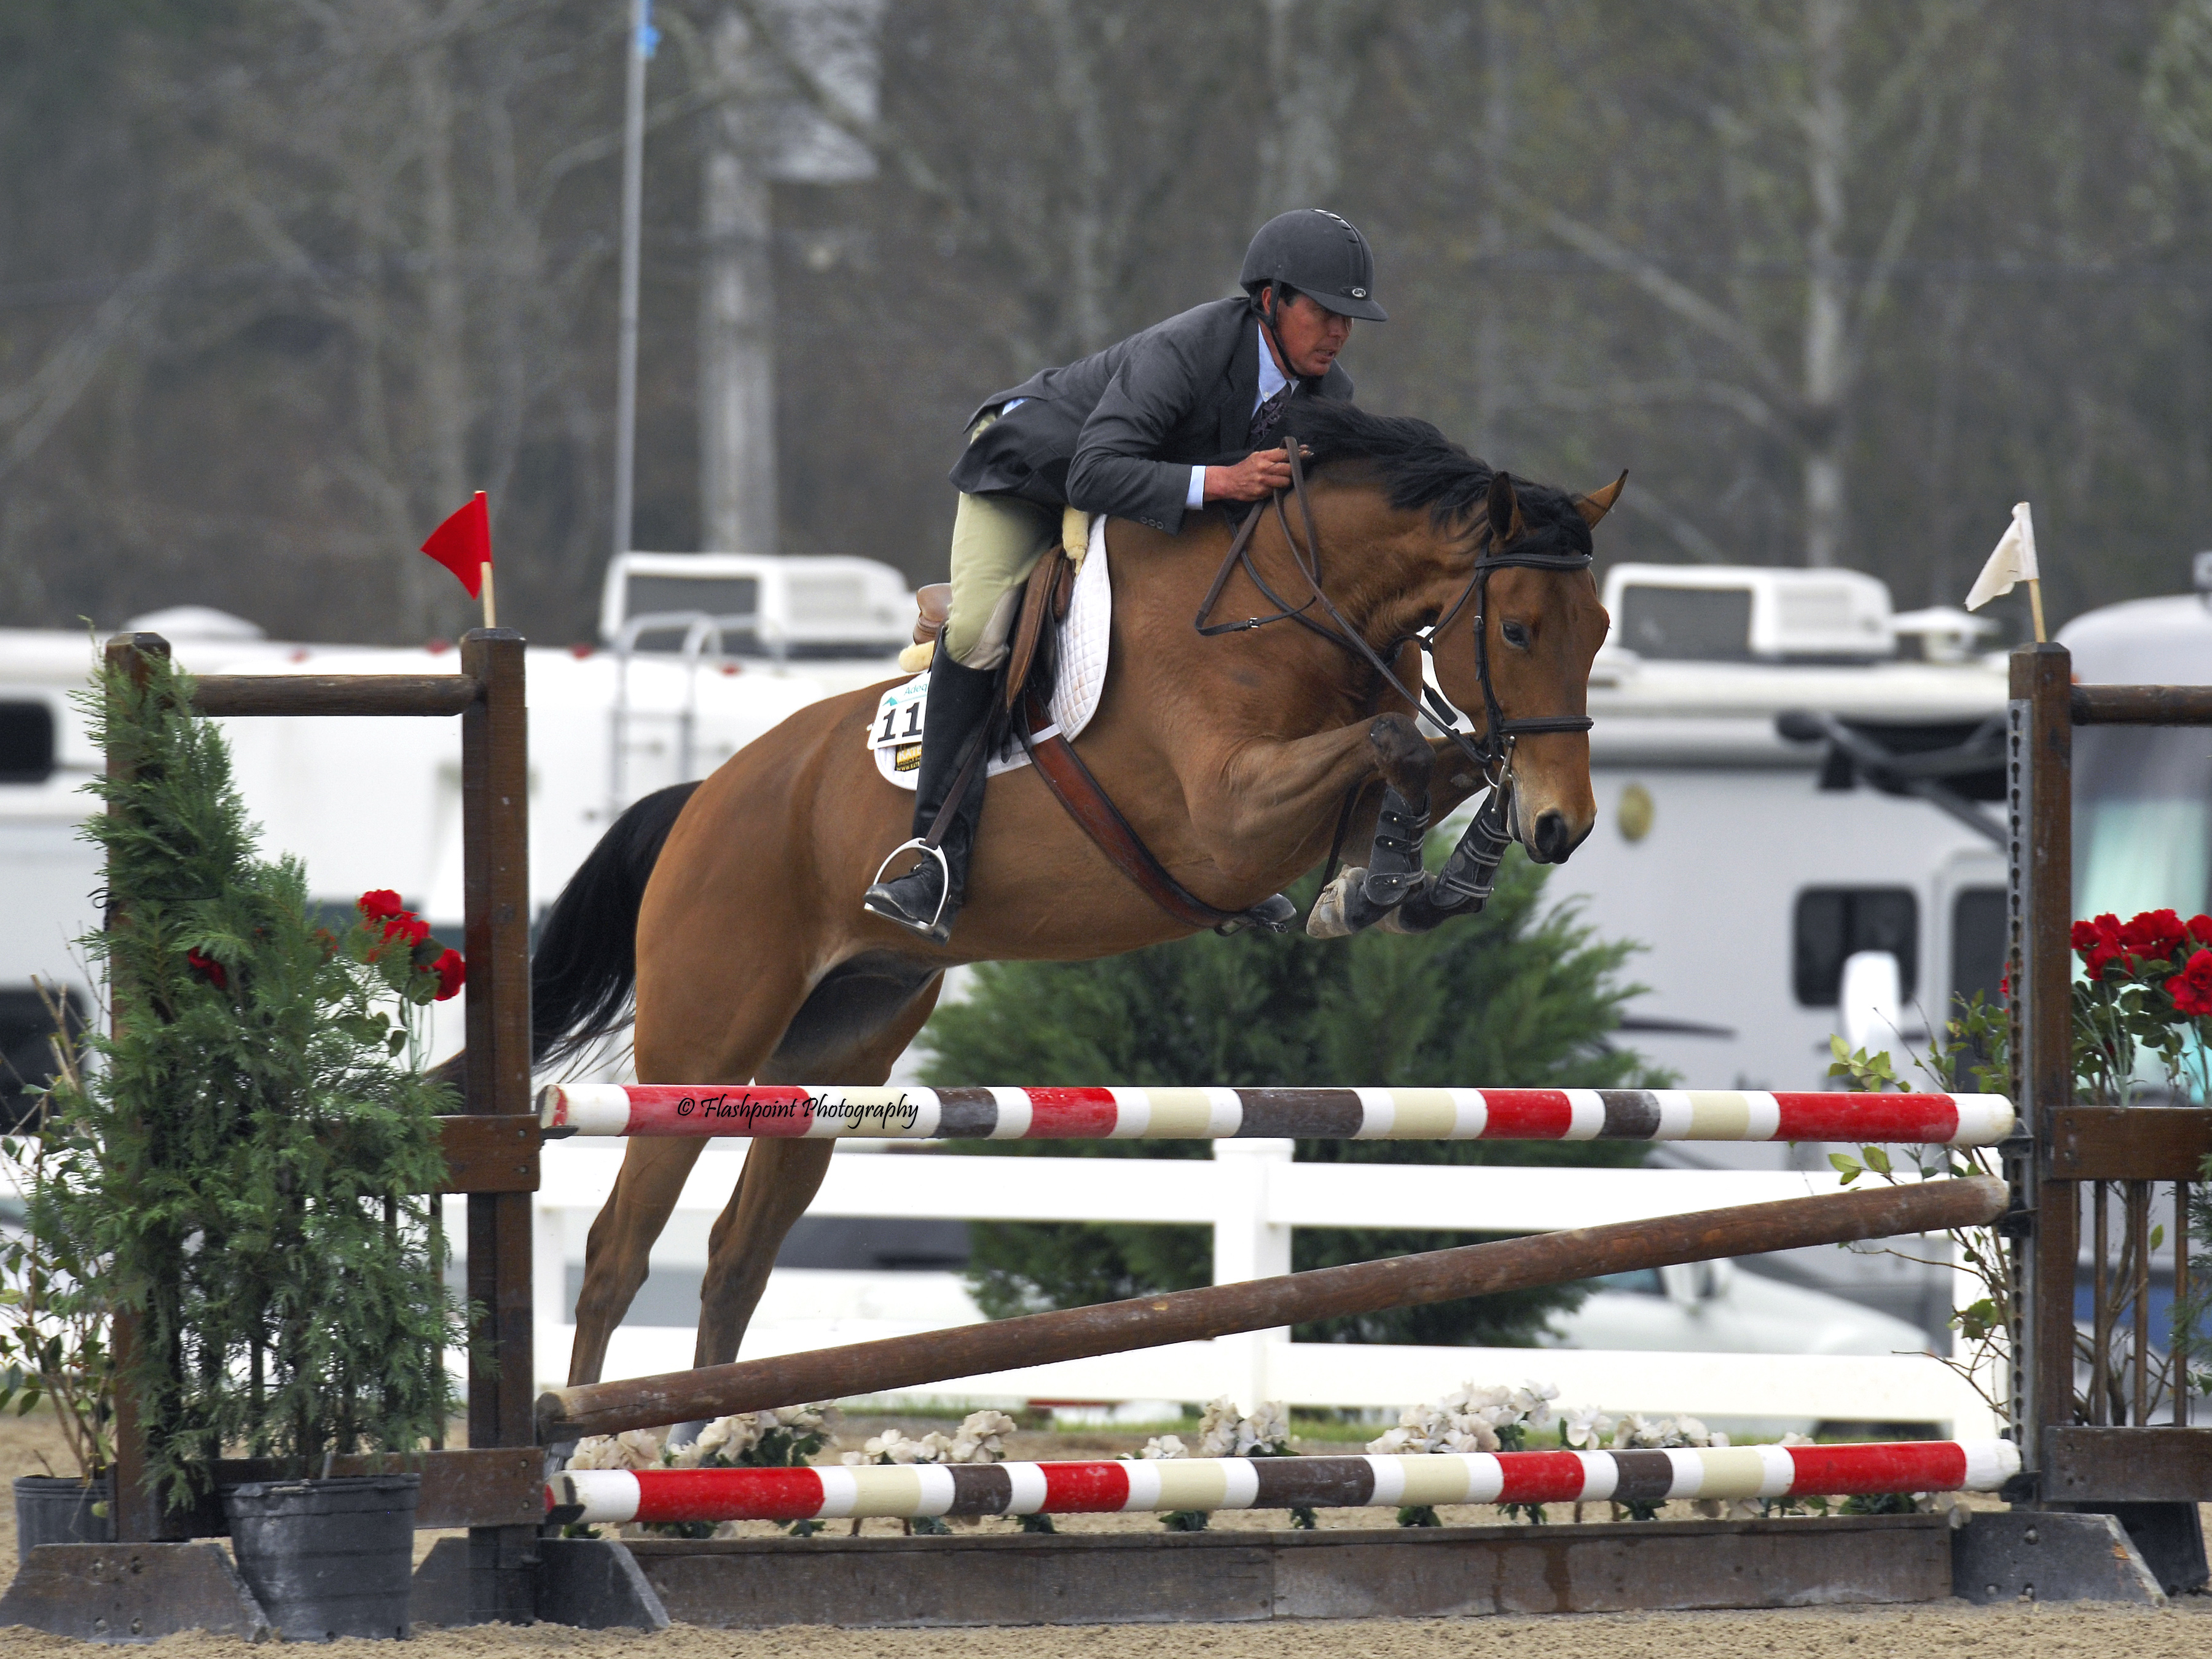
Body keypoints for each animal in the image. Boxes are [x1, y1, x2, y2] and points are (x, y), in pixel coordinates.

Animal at [524, 407, 1619, 1406]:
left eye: (1599, 632)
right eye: (1517, 629)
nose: (1566, 825)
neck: (1287, 606)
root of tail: (704, 797)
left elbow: (1426, 759)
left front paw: (1426, 875)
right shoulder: (1227, 815)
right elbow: (1397, 744)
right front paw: (1385, 880)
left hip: (840, 1053)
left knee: (737, 1258)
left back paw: (713, 1449)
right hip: (705, 1043)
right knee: (618, 1253)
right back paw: (592, 1448)